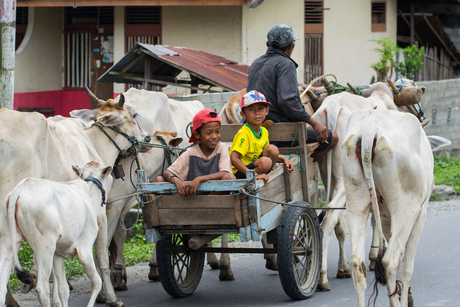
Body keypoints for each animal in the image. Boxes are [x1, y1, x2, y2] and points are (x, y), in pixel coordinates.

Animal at [1, 162, 113, 306]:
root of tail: (18, 191)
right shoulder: (85, 250)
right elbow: (97, 282)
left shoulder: (58, 254)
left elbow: (63, 290)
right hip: (44, 247)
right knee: (42, 288)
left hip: (8, 241)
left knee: (2, 288)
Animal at [342, 109, 450, 306]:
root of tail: (370, 127)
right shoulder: (421, 215)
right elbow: (406, 266)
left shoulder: (386, 218)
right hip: (406, 210)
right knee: (389, 261)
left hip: (355, 203)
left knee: (357, 263)